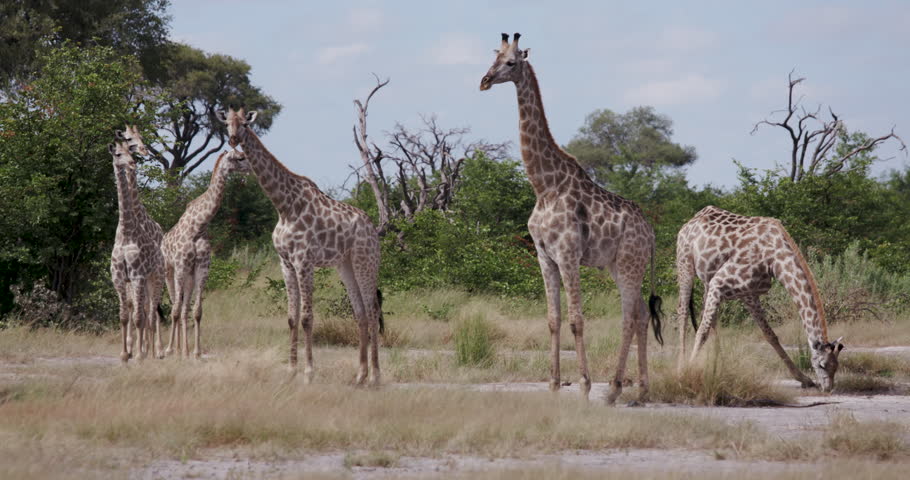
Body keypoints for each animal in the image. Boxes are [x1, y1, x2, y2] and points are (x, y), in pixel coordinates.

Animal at [110, 141, 167, 362]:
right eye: (118, 154)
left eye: (129, 151)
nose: (132, 162)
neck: (127, 232)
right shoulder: (119, 278)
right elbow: (124, 317)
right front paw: (124, 353)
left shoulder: (137, 276)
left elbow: (138, 318)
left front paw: (139, 354)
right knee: (145, 313)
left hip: (156, 279)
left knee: (150, 315)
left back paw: (153, 352)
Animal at [162, 151, 251, 360]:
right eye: (239, 157)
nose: (252, 166)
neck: (199, 226)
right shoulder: (180, 266)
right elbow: (175, 310)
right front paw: (169, 350)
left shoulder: (202, 268)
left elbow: (197, 311)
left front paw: (196, 352)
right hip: (169, 272)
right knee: (174, 305)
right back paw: (172, 349)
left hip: (188, 276)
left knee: (184, 307)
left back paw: (183, 350)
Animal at [216, 108, 382, 386]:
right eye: (227, 122)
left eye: (245, 124)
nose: (233, 140)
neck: (284, 207)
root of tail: (373, 229)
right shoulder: (285, 262)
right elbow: (292, 318)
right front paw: (291, 371)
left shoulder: (304, 260)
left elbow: (306, 318)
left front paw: (308, 373)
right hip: (345, 265)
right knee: (359, 313)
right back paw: (359, 375)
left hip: (365, 260)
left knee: (371, 311)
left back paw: (375, 377)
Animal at [480, 31, 668, 404]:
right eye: (493, 58)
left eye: (511, 62)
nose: (485, 81)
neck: (543, 186)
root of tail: (651, 233)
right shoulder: (544, 256)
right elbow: (553, 319)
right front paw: (554, 385)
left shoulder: (568, 254)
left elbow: (576, 320)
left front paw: (583, 385)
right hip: (619, 265)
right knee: (641, 313)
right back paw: (642, 389)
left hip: (630, 263)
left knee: (628, 317)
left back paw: (613, 390)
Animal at [676, 205, 848, 390]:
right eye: (821, 365)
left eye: (836, 366)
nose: (827, 389)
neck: (774, 259)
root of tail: (690, 221)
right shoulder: (720, 281)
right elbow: (702, 331)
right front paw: (686, 373)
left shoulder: (748, 293)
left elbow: (770, 335)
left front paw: (804, 379)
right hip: (685, 264)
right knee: (683, 313)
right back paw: (682, 365)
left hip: (707, 279)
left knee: (710, 319)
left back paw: (718, 365)